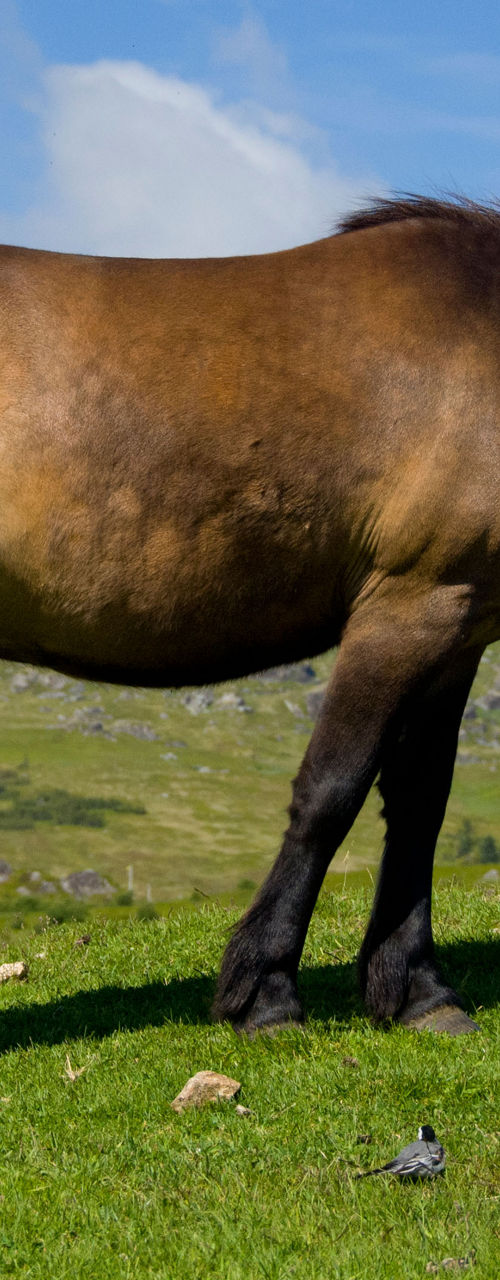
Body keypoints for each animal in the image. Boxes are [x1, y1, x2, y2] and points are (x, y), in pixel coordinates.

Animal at [1, 195, 498, 1036]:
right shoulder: (407, 607)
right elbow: (330, 793)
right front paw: (265, 991)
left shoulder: (457, 622)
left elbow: (419, 803)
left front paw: (419, 991)